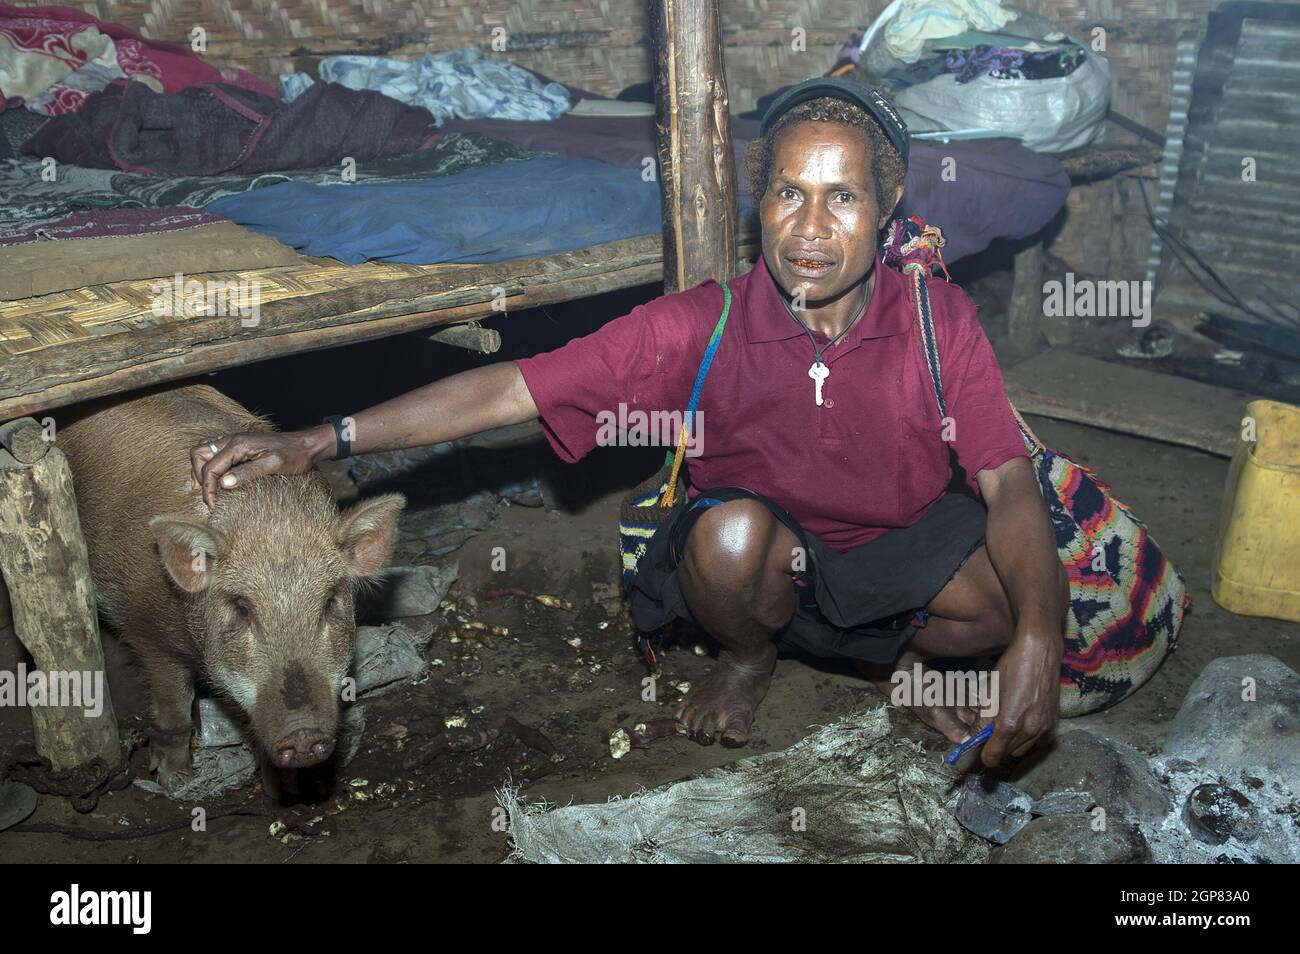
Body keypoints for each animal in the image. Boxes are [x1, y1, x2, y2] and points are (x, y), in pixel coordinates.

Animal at [58, 382, 403, 790]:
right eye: (241, 607)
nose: (303, 735)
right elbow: (174, 710)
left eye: (330, 601)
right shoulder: (146, 631)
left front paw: (285, 789)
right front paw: (173, 781)